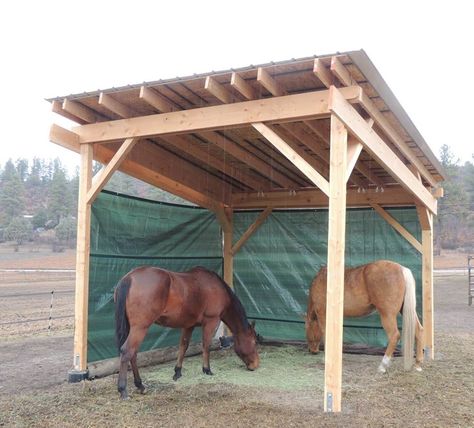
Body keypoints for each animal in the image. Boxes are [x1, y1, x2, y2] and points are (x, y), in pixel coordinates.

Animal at [114, 266, 260, 400]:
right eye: (254, 342)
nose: (256, 365)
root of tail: (129, 278)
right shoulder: (211, 321)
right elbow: (206, 345)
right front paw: (207, 369)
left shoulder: (188, 325)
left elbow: (183, 346)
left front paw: (177, 372)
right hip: (140, 328)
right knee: (127, 351)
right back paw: (123, 389)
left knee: (133, 353)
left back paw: (140, 385)